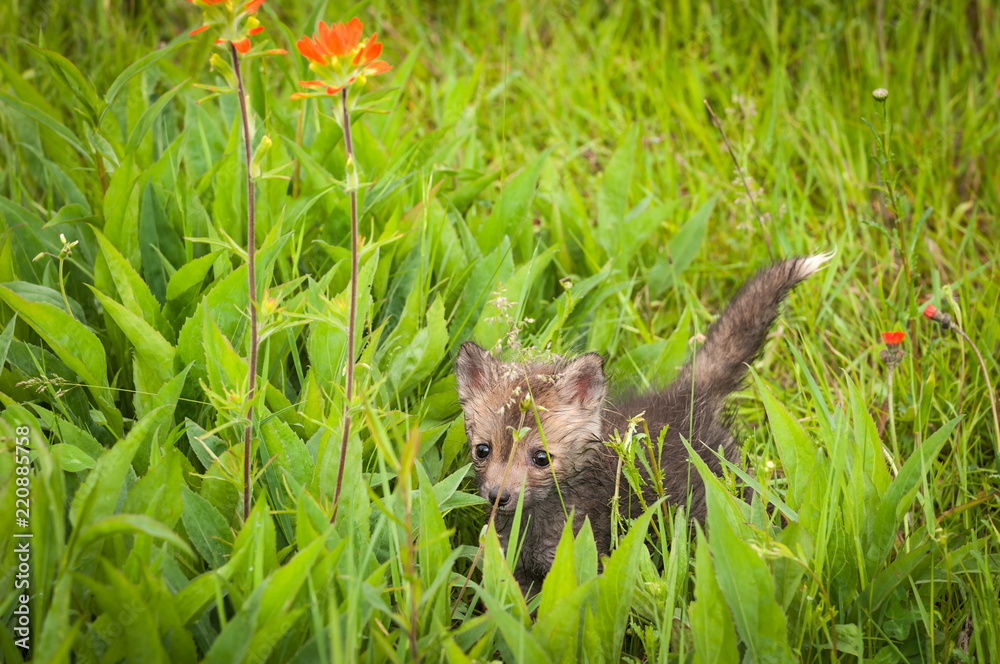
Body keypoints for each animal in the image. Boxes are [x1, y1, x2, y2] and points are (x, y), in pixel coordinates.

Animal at [455, 254, 832, 595]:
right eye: (483, 450)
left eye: (541, 458)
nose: (498, 497)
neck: (532, 523)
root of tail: (683, 397)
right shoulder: (513, 567)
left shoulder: (581, 563)